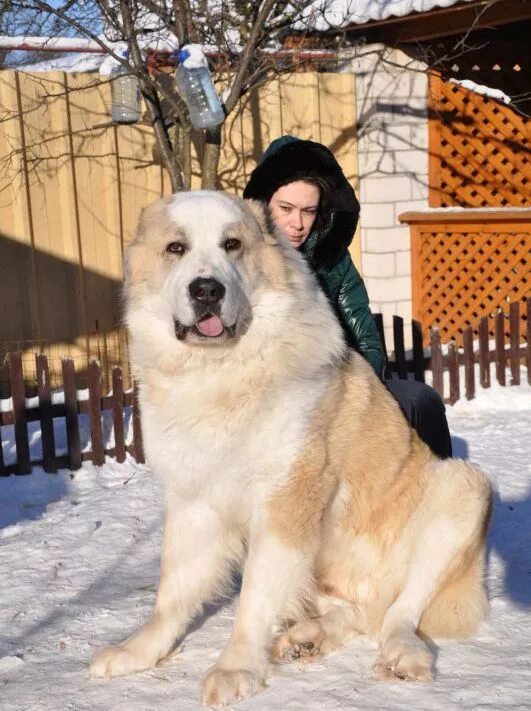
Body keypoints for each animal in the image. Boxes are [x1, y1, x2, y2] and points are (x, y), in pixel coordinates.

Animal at [89, 191, 492, 708]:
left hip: (462, 486)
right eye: (176, 248)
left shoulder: (285, 500)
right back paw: (308, 637)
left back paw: (402, 654)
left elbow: (253, 596)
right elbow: (172, 591)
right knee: (364, 612)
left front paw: (236, 667)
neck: (222, 374)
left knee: (400, 610)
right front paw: (138, 651)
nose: (206, 290)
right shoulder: (194, 501)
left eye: (233, 245)